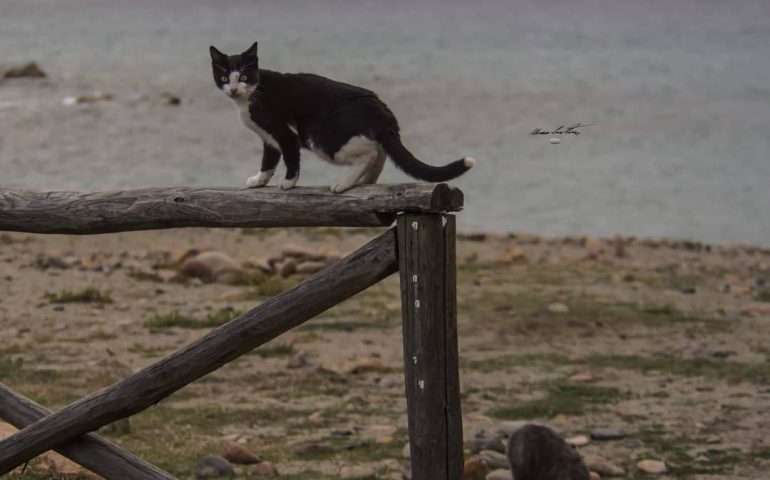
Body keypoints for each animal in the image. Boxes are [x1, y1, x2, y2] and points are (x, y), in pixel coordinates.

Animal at [210, 41, 474, 191]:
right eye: (224, 78)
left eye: (244, 77)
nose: (233, 89)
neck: (252, 95)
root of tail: (382, 110)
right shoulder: (269, 138)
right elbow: (268, 161)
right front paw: (259, 181)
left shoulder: (284, 132)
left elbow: (290, 157)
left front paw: (288, 183)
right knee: (380, 151)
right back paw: (365, 182)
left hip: (325, 137)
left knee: (369, 153)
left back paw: (344, 185)